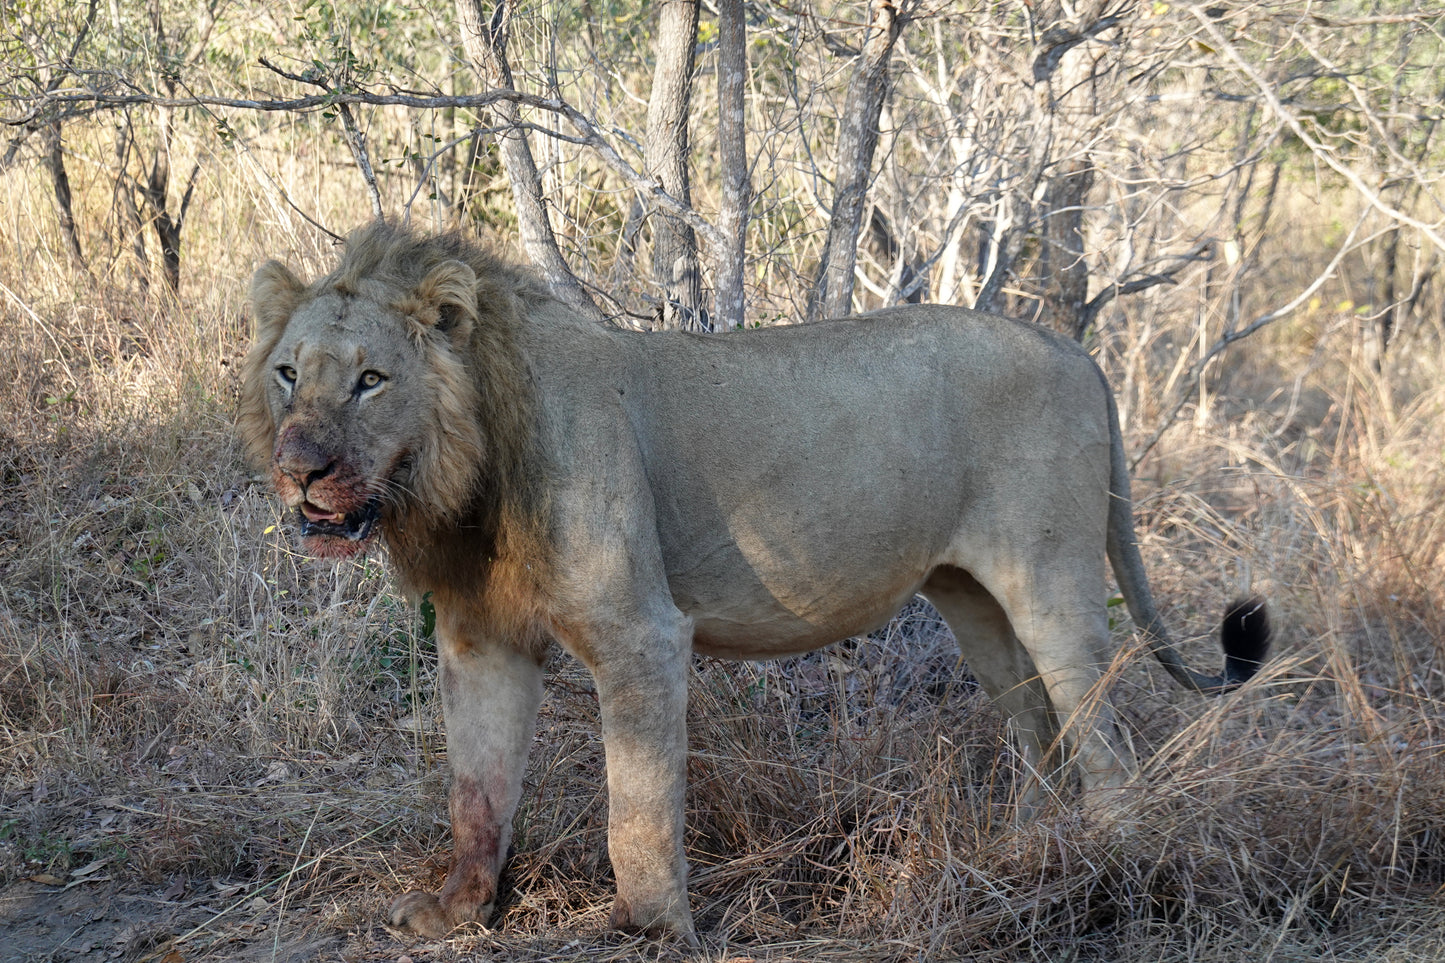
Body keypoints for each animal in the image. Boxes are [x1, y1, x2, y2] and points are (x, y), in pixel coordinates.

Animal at [242, 221, 1271, 942]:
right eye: (289, 373)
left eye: (371, 379)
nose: (298, 470)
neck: (464, 479)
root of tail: (1077, 351)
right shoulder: (479, 638)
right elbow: (477, 789)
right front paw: (457, 909)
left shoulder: (641, 633)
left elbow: (637, 805)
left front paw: (654, 928)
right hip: (970, 597)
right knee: (1037, 729)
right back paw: (1030, 854)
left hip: (1050, 583)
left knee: (1105, 738)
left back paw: (1116, 871)